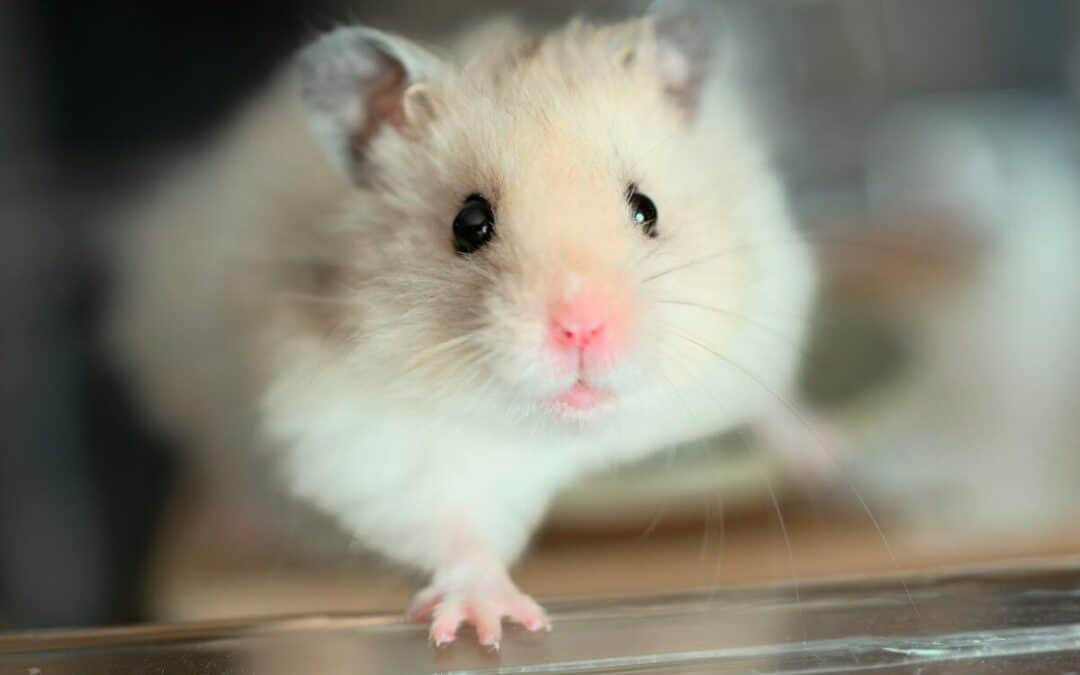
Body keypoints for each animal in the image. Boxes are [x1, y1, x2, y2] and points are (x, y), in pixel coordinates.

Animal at [107, 1, 818, 648]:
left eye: (647, 209)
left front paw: (822, 456)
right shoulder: (369, 443)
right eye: (469, 224)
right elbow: (454, 529)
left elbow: (769, 404)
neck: (571, 433)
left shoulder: (758, 324)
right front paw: (489, 627)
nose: (582, 329)